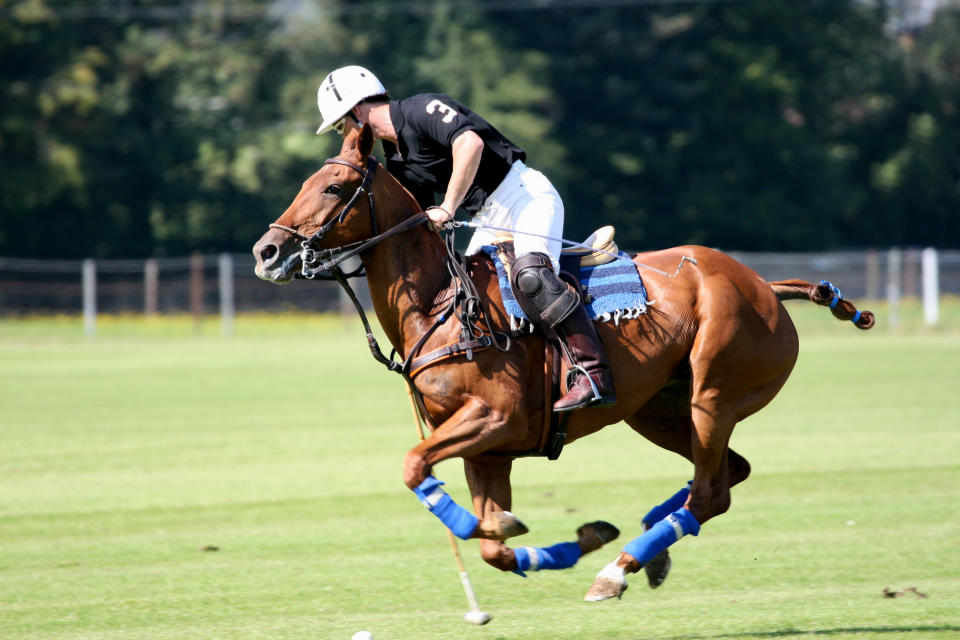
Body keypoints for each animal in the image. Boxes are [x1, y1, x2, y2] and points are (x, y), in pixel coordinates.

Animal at [251, 125, 872, 600]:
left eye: (335, 187)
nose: (267, 252)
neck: (439, 302)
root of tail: (765, 285)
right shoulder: (487, 450)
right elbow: (494, 547)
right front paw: (570, 534)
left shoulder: (494, 419)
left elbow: (413, 467)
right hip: (658, 410)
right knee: (727, 475)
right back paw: (647, 544)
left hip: (713, 394)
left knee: (709, 492)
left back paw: (617, 571)